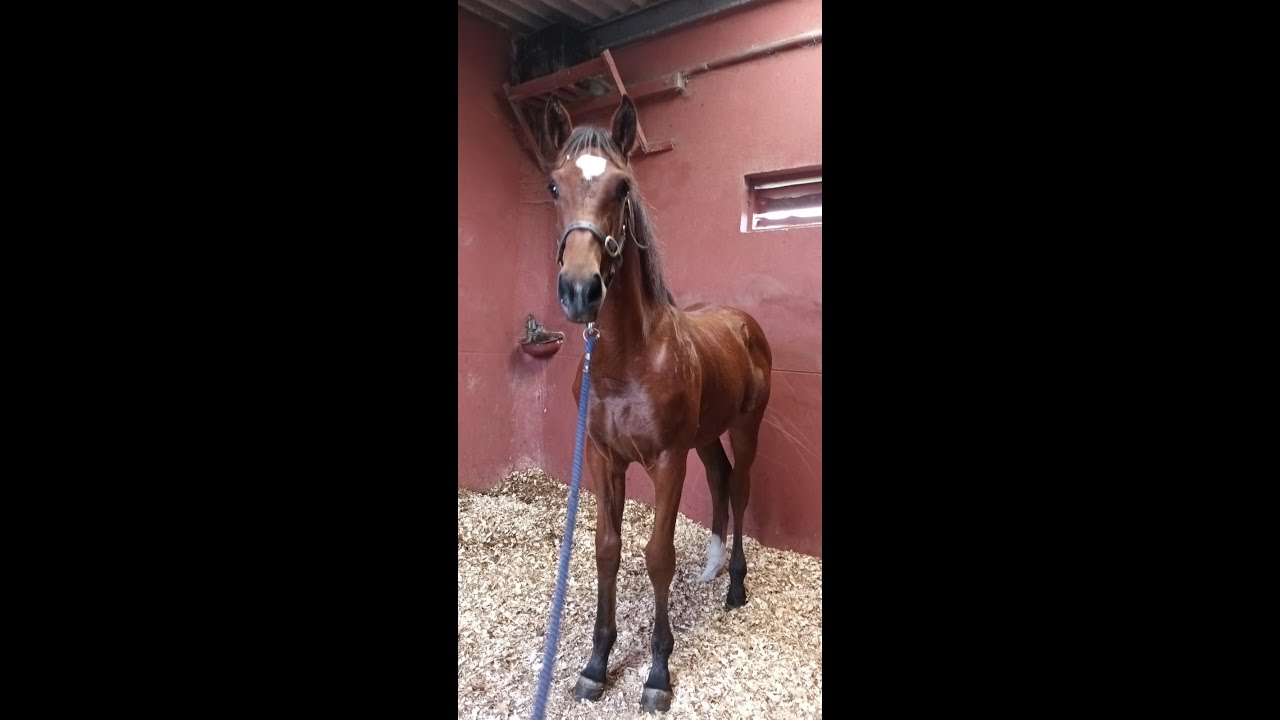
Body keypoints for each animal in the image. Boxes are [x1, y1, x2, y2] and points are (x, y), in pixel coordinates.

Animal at [540, 94, 773, 713]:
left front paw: (658, 673)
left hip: (746, 427)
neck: (627, 359)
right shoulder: (605, 459)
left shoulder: (668, 461)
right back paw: (712, 568)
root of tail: (744, 324)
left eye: (622, 187)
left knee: (741, 487)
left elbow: (657, 555)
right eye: (553, 185)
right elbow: (608, 548)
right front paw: (596, 664)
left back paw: (735, 584)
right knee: (719, 478)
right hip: (707, 435)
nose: (580, 290)